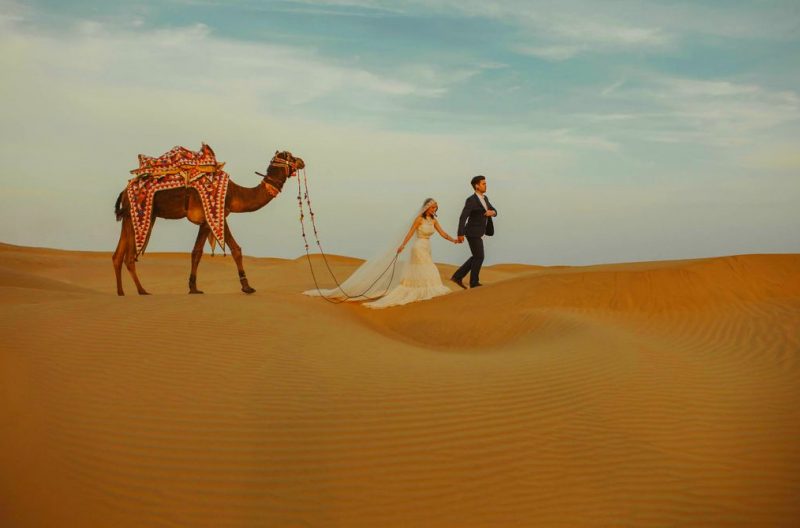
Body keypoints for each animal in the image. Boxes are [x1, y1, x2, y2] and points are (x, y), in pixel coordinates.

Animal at [109, 151, 304, 294]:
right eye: (289, 155)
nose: (302, 161)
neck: (235, 193)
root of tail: (124, 191)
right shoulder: (214, 216)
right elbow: (222, 250)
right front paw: (246, 287)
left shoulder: (214, 218)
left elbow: (205, 251)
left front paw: (193, 287)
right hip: (140, 216)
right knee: (128, 257)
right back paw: (142, 291)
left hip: (128, 218)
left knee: (117, 255)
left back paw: (121, 292)